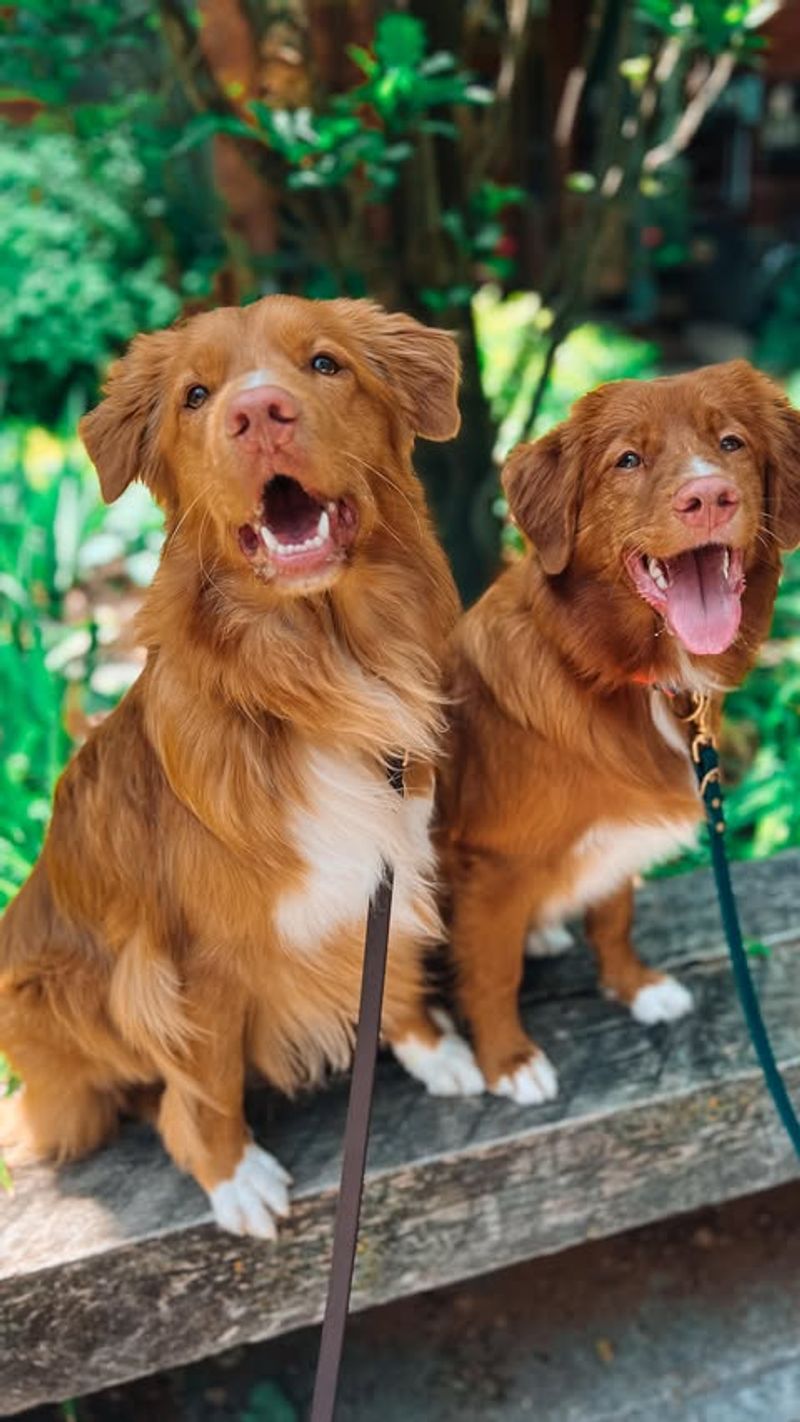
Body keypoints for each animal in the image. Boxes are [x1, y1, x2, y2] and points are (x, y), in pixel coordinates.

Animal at [0, 297, 483, 1234]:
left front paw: (432, 1048)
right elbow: (209, 1080)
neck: (316, 676)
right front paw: (231, 1174)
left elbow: (392, 975)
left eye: (325, 364)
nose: (258, 412)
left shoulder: (388, 862)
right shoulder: (190, 965)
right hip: (54, 988)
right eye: (195, 395)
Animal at [437, 361, 800, 1103]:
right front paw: (507, 1060)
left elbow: (614, 916)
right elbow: (491, 972)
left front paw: (634, 987)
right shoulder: (487, 862)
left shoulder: (623, 827)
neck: (631, 678)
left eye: (731, 443)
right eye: (627, 460)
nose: (708, 496)